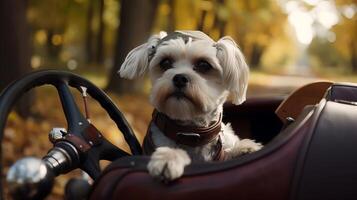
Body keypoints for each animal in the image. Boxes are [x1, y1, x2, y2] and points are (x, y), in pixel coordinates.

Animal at [119, 30, 262, 182]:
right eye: (165, 62)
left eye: (204, 65)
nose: (180, 78)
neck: (190, 133)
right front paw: (169, 157)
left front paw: (243, 149)